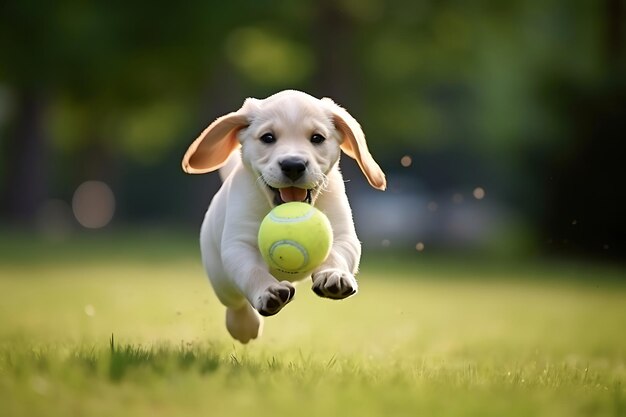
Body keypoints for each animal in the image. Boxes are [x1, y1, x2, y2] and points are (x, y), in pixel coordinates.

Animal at [180, 90, 386, 342]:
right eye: (268, 138)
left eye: (317, 138)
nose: (293, 165)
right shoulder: (239, 245)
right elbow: (253, 271)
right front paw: (267, 291)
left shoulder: (343, 235)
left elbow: (336, 255)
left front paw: (333, 275)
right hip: (220, 278)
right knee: (235, 302)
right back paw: (243, 325)